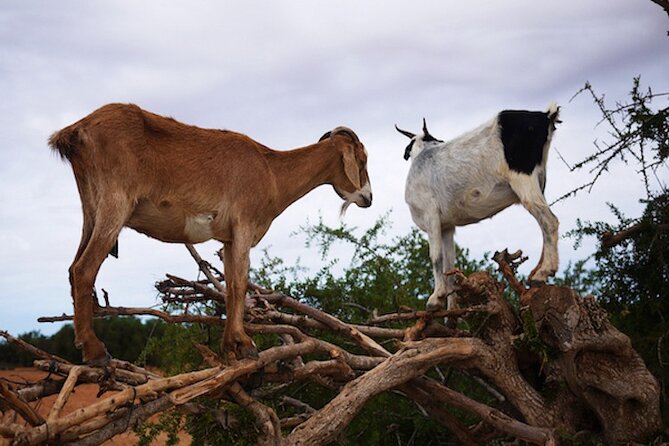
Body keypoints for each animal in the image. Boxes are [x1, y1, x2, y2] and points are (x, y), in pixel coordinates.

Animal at [49, 103, 372, 364]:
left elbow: (229, 286)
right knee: (84, 268)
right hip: (115, 203)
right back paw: (96, 352)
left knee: (73, 267)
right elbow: (240, 284)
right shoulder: (244, 225)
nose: (368, 198)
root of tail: (75, 132)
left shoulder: (228, 238)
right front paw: (246, 345)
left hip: (91, 208)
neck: (272, 171)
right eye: (363, 159)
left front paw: (230, 347)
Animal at [396, 104, 560, 311]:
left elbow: (435, 256)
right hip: (539, 182)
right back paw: (537, 272)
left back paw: (543, 273)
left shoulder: (430, 215)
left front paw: (435, 298)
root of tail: (545, 117)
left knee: (549, 220)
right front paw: (452, 310)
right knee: (543, 222)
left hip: (523, 179)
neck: (423, 155)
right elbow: (449, 264)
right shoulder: (447, 226)